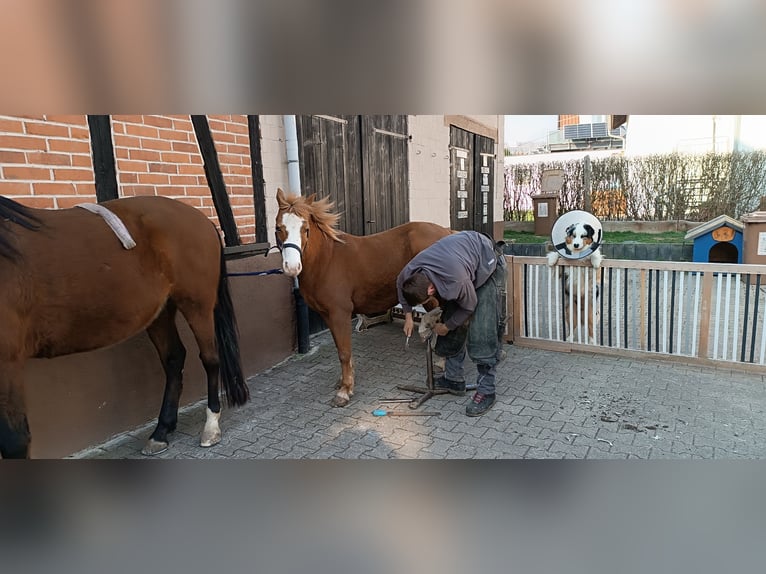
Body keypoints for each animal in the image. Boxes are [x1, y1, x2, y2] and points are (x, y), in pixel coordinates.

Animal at [0, 195, 250, 458]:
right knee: (174, 359)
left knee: (210, 359)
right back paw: (161, 431)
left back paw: (211, 426)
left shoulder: (8, 363)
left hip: (197, 305)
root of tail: (202, 219)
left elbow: (14, 440)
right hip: (160, 312)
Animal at [275, 188, 452, 406]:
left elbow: (344, 352)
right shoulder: (328, 314)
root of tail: (448, 233)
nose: (292, 267)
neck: (327, 260)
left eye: (305, 229)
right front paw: (346, 380)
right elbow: (340, 347)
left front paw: (344, 390)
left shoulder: (340, 313)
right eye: (278, 228)